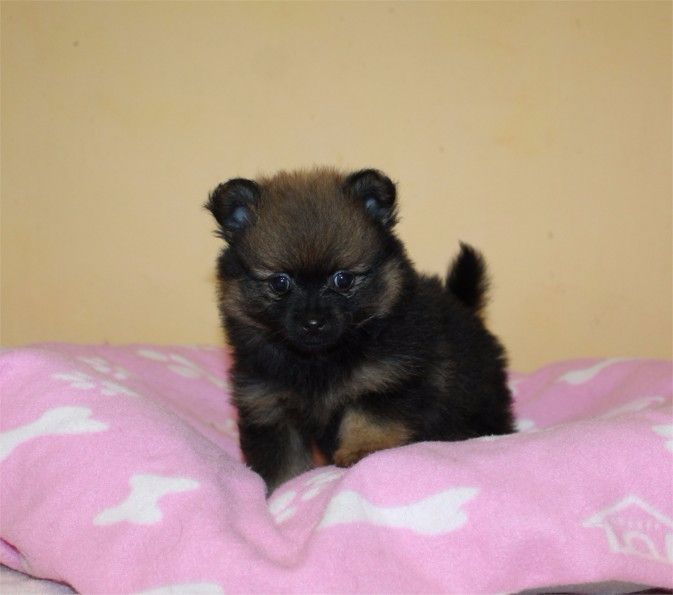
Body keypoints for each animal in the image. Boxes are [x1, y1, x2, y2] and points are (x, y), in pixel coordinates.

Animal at [206, 167, 514, 493]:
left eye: (342, 280)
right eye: (280, 283)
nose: (313, 322)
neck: (319, 361)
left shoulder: (388, 379)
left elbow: (368, 419)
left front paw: (361, 450)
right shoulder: (268, 406)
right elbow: (283, 460)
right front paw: (283, 490)